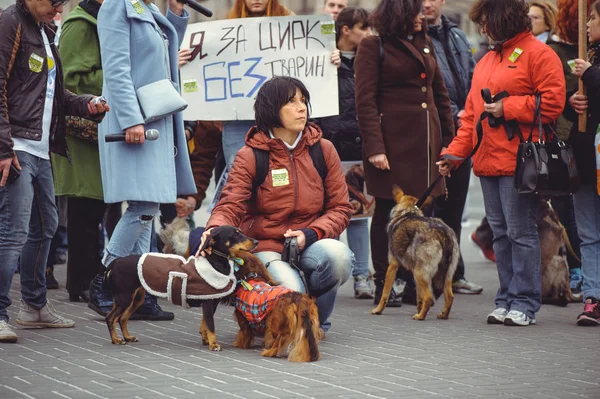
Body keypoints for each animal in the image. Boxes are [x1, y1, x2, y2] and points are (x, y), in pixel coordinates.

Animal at [103, 227, 258, 352]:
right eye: (236, 234)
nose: (256, 241)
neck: (214, 262)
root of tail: (116, 262)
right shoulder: (208, 304)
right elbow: (211, 326)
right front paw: (214, 345)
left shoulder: (210, 304)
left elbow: (205, 325)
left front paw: (206, 340)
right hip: (125, 297)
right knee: (110, 318)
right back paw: (116, 340)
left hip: (135, 299)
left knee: (122, 318)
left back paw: (127, 337)